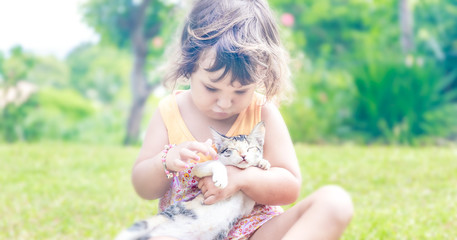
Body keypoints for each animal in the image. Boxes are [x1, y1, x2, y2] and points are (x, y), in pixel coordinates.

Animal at [116, 122, 268, 240]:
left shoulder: (246, 206)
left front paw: (262, 163)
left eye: (250, 148)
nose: (243, 156)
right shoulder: (197, 168)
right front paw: (221, 179)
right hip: (147, 224)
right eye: (232, 149)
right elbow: (215, 164)